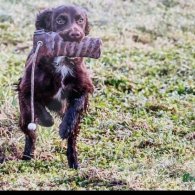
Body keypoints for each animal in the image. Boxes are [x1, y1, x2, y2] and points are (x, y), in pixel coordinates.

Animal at [17, 4, 94, 169]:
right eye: (60, 20)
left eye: (80, 20)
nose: (75, 35)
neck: (62, 62)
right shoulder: (25, 89)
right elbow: (38, 106)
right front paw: (48, 120)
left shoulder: (83, 88)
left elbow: (75, 108)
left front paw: (65, 127)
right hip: (25, 116)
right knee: (30, 135)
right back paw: (27, 157)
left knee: (72, 141)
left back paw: (74, 163)